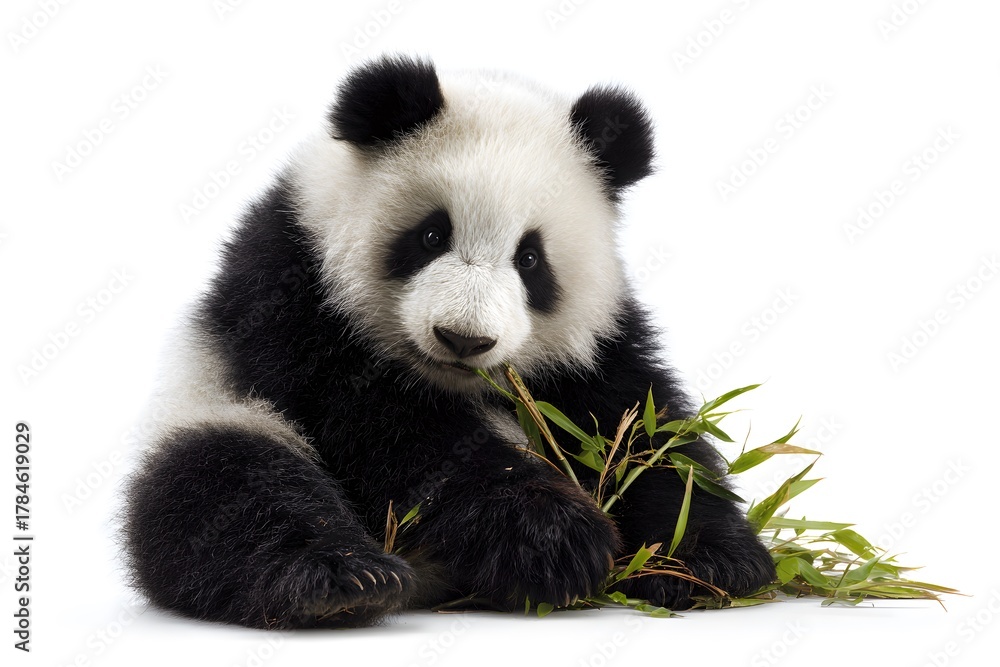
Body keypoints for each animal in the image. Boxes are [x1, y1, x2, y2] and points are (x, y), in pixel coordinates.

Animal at [124, 55, 775, 629]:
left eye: (530, 259)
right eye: (432, 234)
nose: (463, 339)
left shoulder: (594, 341)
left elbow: (639, 427)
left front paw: (710, 561)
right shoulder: (292, 287)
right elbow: (389, 426)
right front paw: (553, 537)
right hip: (208, 404)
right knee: (229, 490)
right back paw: (343, 582)